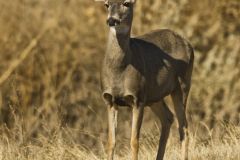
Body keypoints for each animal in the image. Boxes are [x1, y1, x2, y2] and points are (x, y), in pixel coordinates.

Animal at [98, 0, 194, 160]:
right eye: (106, 4)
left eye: (126, 3)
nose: (112, 20)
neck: (120, 70)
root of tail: (188, 44)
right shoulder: (109, 99)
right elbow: (111, 142)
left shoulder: (138, 98)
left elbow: (134, 141)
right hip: (154, 96)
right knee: (168, 117)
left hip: (182, 85)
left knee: (184, 127)